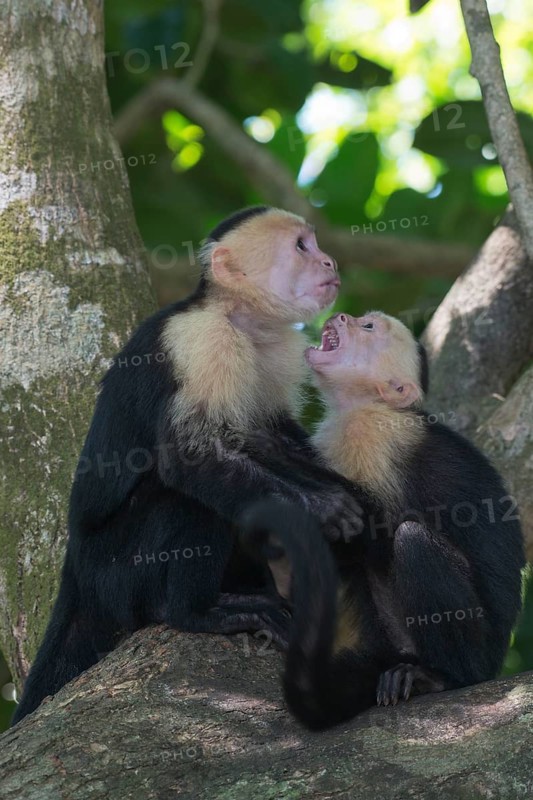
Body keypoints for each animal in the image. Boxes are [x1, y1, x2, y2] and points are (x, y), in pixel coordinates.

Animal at [12, 206, 365, 724]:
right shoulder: (201, 340)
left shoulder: (275, 350)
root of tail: (74, 567)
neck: (240, 317)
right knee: (185, 502)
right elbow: (189, 455)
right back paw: (197, 613)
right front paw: (324, 509)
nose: (328, 261)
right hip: (113, 572)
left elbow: (263, 436)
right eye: (301, 247)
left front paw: (348, 489)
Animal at [241, 311, 525, 730]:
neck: (362, 405)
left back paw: (442, 677)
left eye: (369, 328)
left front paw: (274, 448)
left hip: (482, 648)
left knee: (411, 541)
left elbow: (377, 531)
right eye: (360, 319)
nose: (342, 315)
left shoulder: (375, 436)